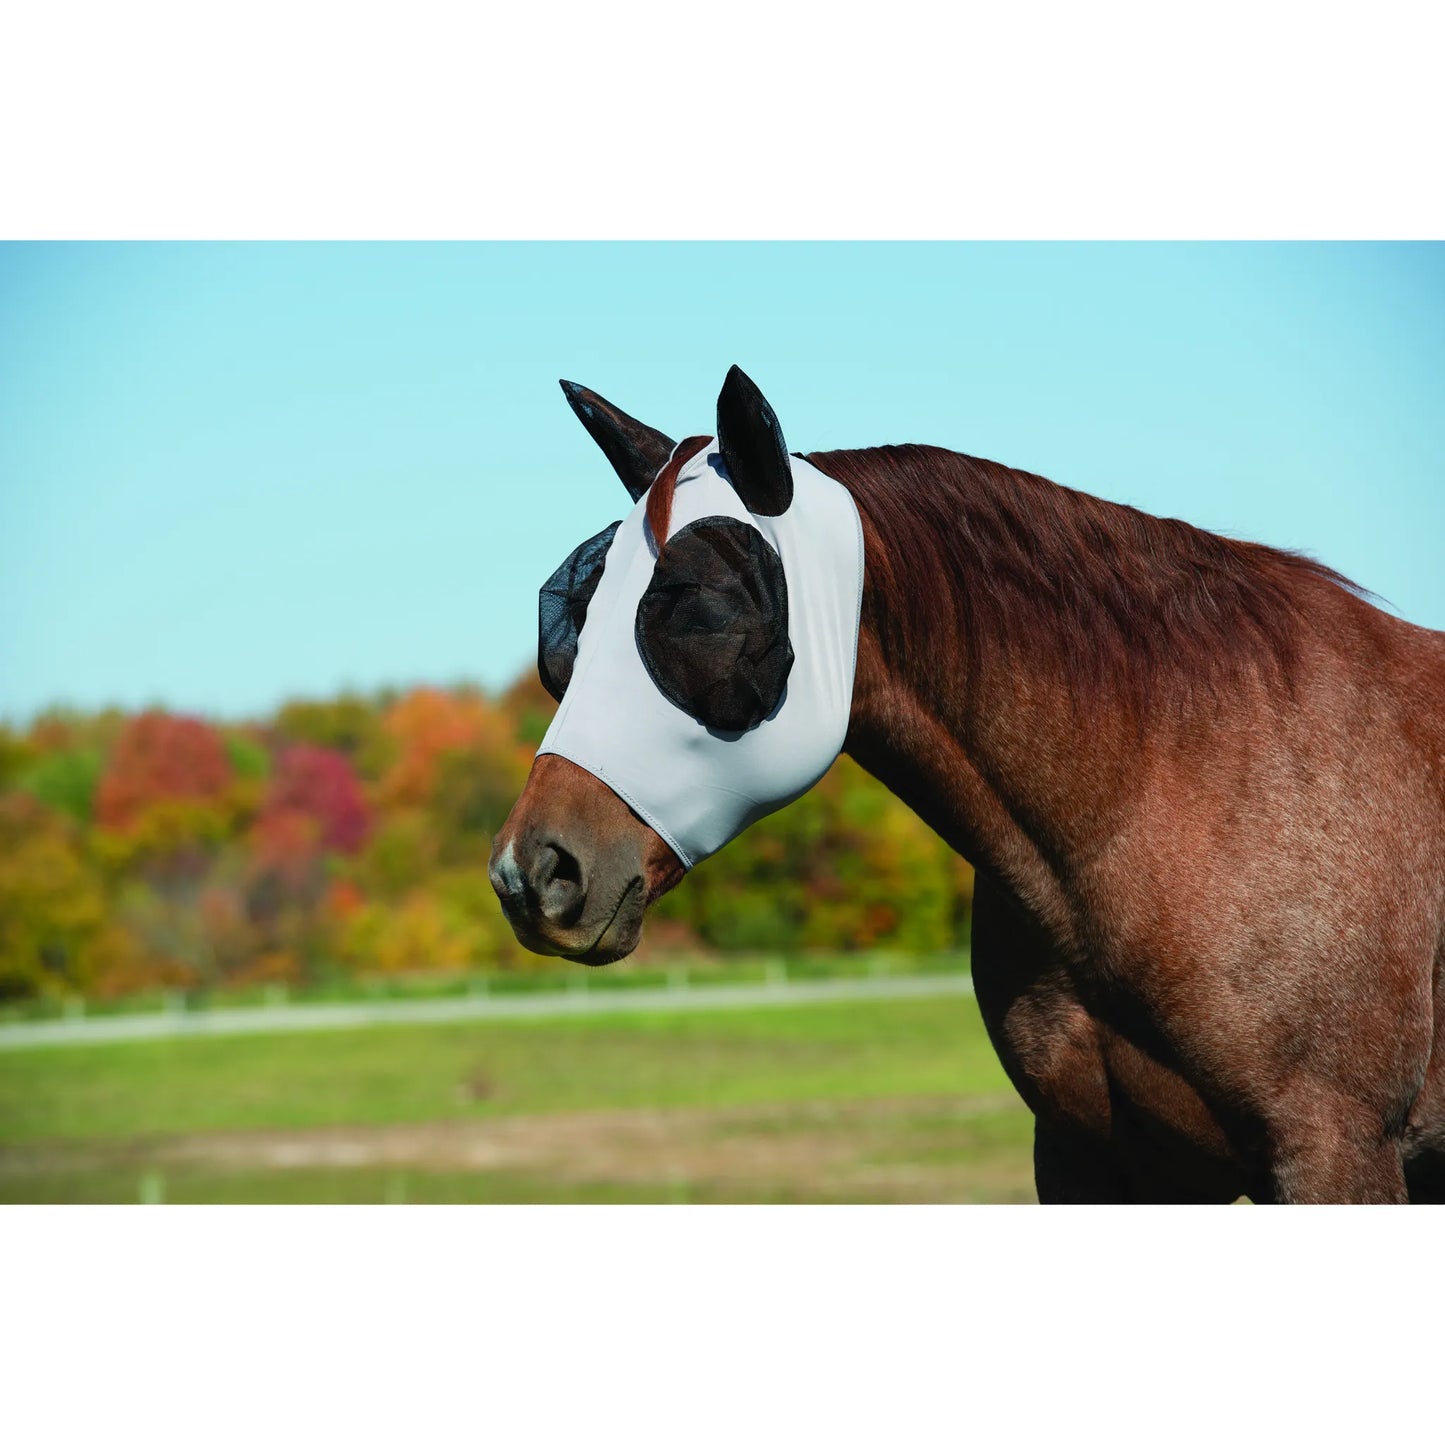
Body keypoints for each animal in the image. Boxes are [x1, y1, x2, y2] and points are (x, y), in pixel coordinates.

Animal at [490, 366, 1445, 1204]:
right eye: (568, 620)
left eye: (703, 607)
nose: (531, 872)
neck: (1171, 792)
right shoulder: (1091, 1157)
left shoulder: (1331, 1148)